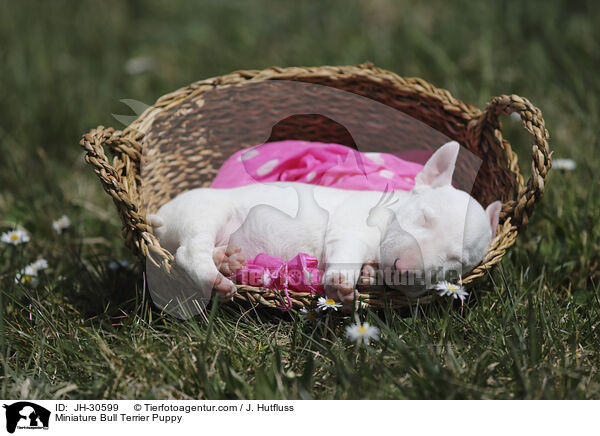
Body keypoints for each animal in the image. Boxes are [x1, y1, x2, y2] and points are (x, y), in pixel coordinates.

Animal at [149, 141, 502, 308]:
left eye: (456, 262)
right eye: (424, 217)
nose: (404, 268)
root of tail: (159, 216)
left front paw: (372, 276)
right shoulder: (351, 225)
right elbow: (346, 250)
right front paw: (343, 284)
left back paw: (227, 260)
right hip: (206, 212)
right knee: (189, 251)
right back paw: (215, 278)